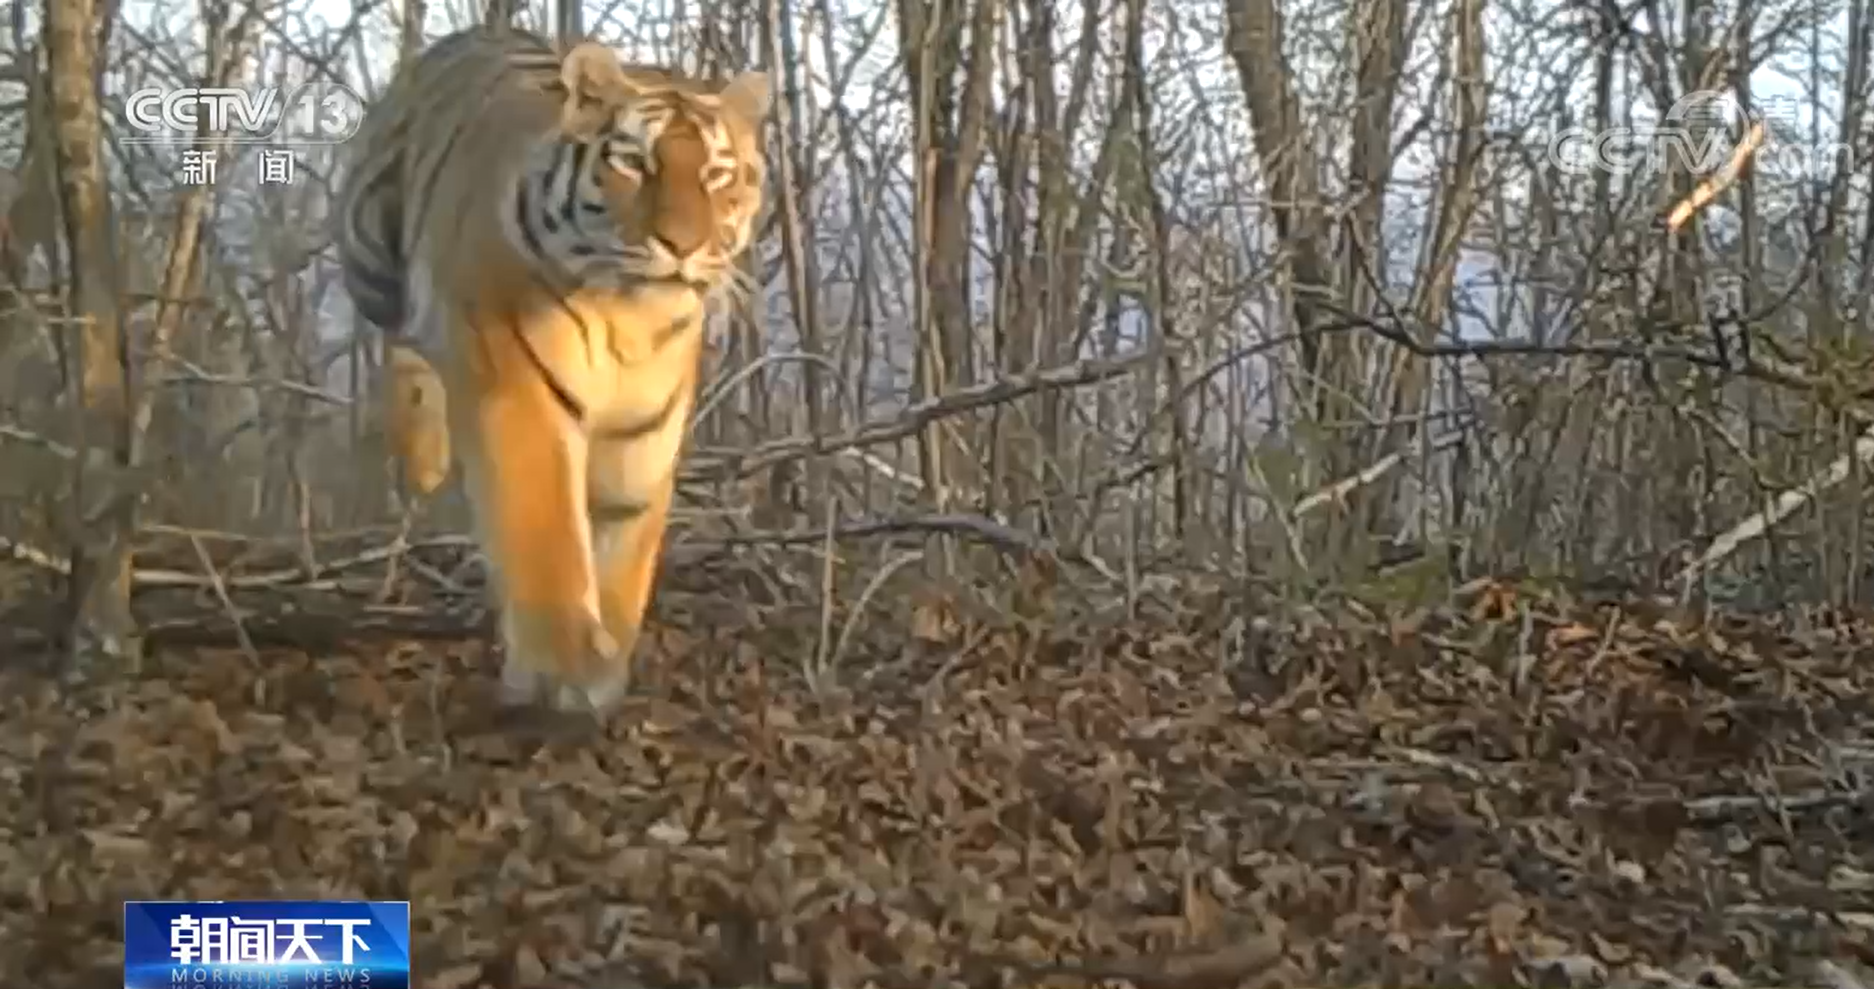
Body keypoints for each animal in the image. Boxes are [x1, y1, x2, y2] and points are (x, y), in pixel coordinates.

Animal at [333, 27, 772, 715]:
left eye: (716, 174)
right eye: (634, 163)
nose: (683, 245)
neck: (632, 321)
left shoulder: (643, 432)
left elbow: (623, 550)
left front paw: (606, 666)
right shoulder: (520, 393)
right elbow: (549, 537)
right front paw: (565, 667)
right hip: (372, 257)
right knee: (401, 341)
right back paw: (425, 452)